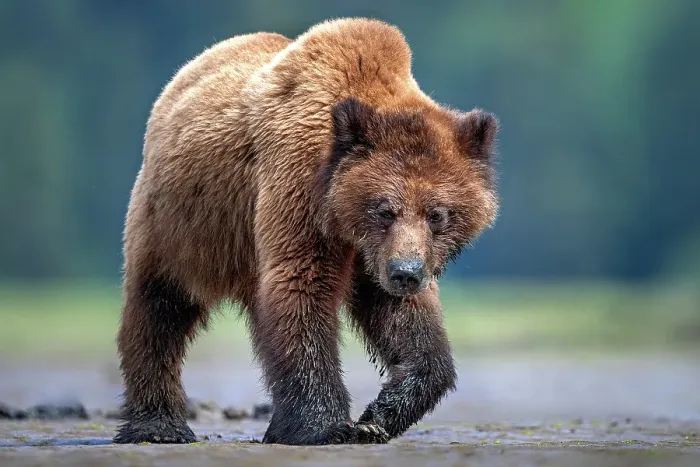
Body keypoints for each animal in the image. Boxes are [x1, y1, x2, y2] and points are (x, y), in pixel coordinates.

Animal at [113, 17, 499, 446]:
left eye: (438, 214)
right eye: (384, 209)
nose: (407, 273)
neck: (345, 220)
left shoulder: (377, 256)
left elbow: (408, 323)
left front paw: (378, 416)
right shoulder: (300, 187)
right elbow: (302, 288)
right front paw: (329, 426)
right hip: (183, 221)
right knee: (158, 306)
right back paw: (159, 425)